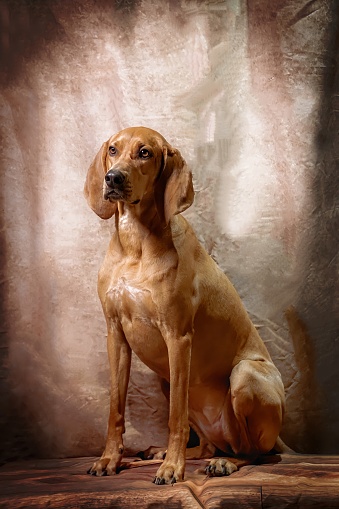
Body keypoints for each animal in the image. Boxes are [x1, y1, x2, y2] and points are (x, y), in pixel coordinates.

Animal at [83, 127, 286, 484]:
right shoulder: (115, 335)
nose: (113, 178)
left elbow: (175, 416)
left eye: (145, 153)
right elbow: (115, 409)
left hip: (244, 376)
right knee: (209, 445)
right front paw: (110, 459)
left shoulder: (178, 337)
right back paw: (162, 452)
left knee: (255, 453)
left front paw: (172, 468)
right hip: (166, 380)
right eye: (112, 150)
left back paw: (222, 463)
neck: (136, 243)